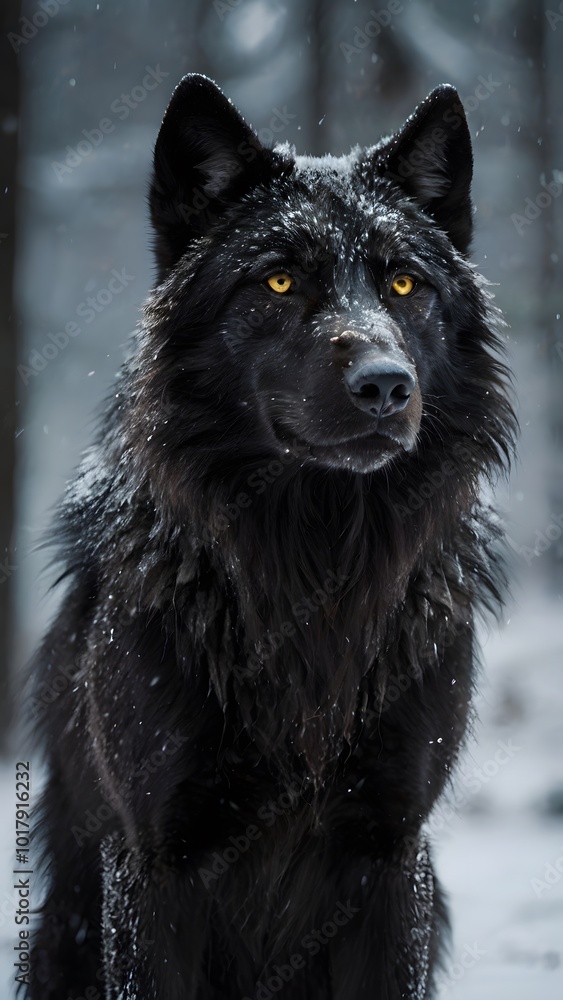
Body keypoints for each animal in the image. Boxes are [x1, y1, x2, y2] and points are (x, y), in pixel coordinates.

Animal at [26, 74, 515, 999]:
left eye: (404, 285)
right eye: (280, 281)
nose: (385, 385)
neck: (313, 565)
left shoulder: (392, 853)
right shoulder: (153, 861)